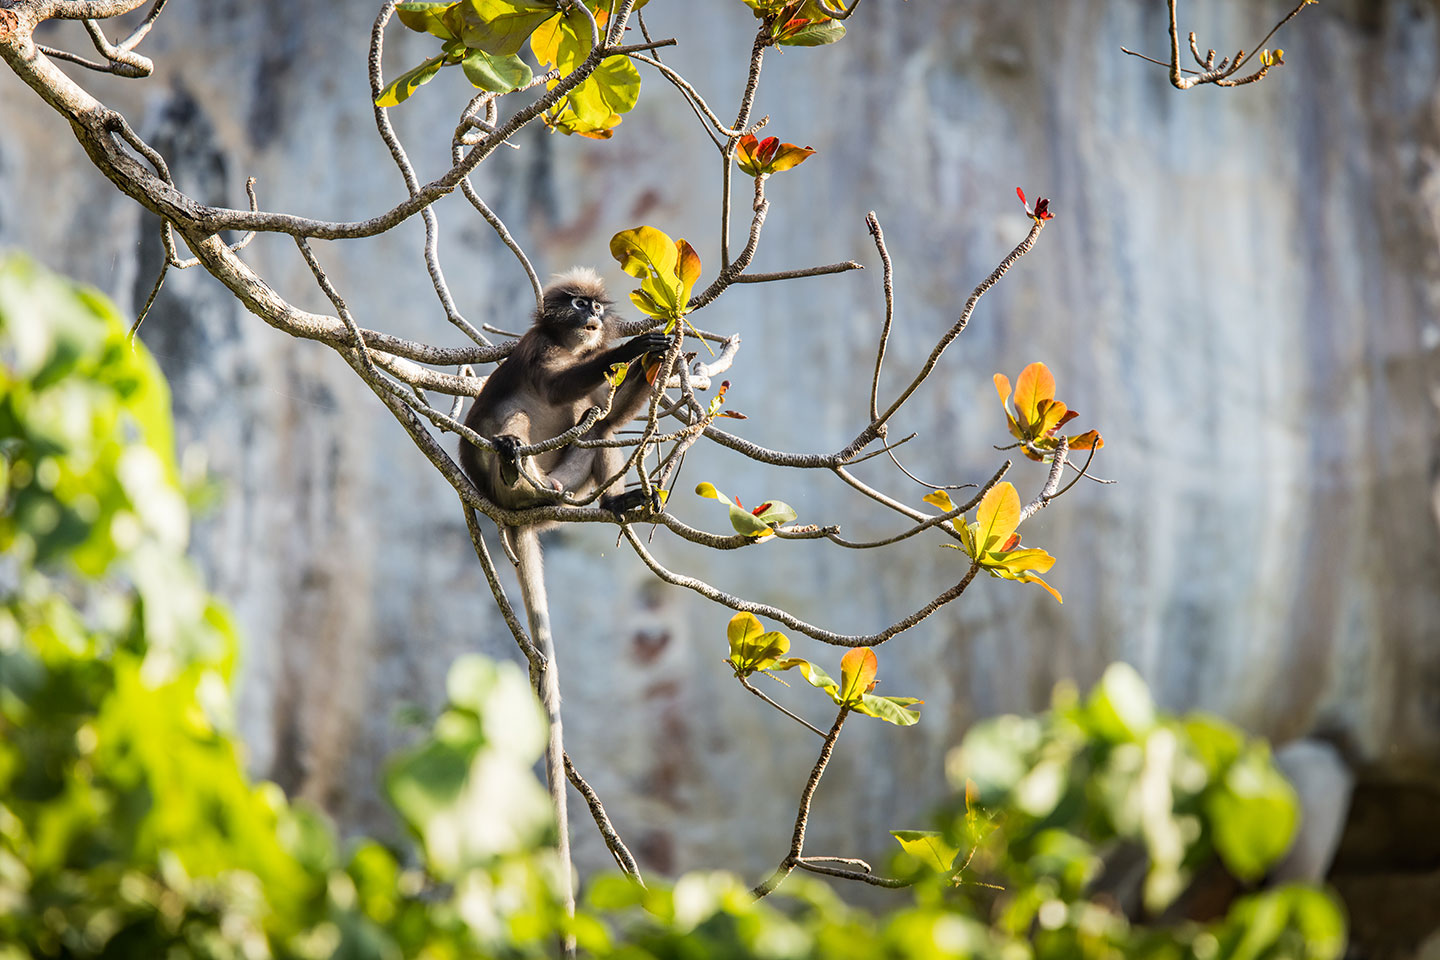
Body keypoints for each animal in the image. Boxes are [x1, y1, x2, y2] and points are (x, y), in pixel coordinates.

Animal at [458, 267, 670, 917]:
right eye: (578, 304)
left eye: (597, 305)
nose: (594, 318)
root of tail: (521, 516)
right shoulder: (535, 352)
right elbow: (551, 389)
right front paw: (636, 347)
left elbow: (607, 414)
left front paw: (660, 357)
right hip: (504, 468)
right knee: (513, 424)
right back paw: (510, 464)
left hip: (569, 484)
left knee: (599, 430)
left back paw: (616, 502)